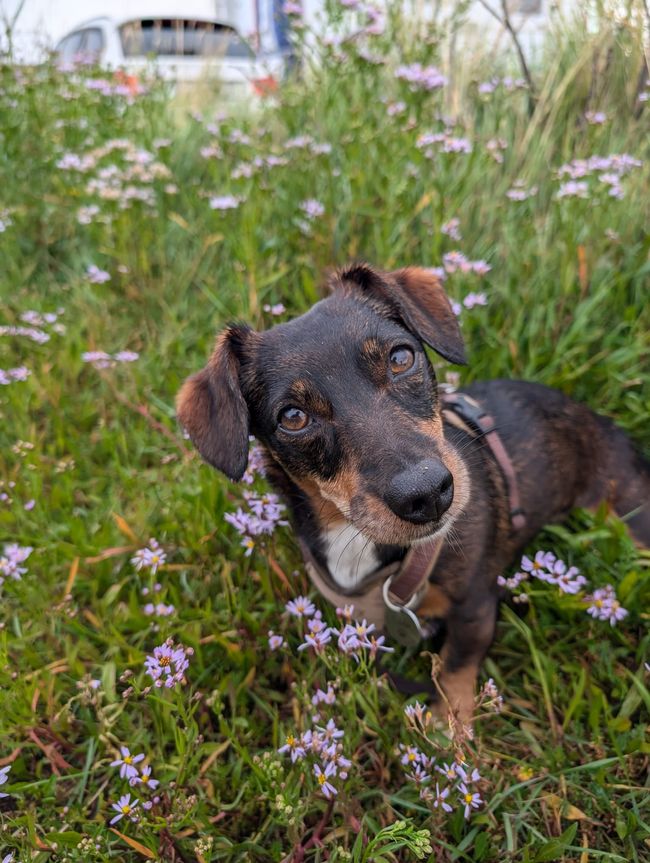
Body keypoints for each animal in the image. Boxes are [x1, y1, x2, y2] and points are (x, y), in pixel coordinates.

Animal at [176, 264, 648, 724]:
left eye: (401, 357)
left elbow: (456, 666)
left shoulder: (475, 608)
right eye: (293, 417)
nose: (428, 494)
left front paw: (447, 726)